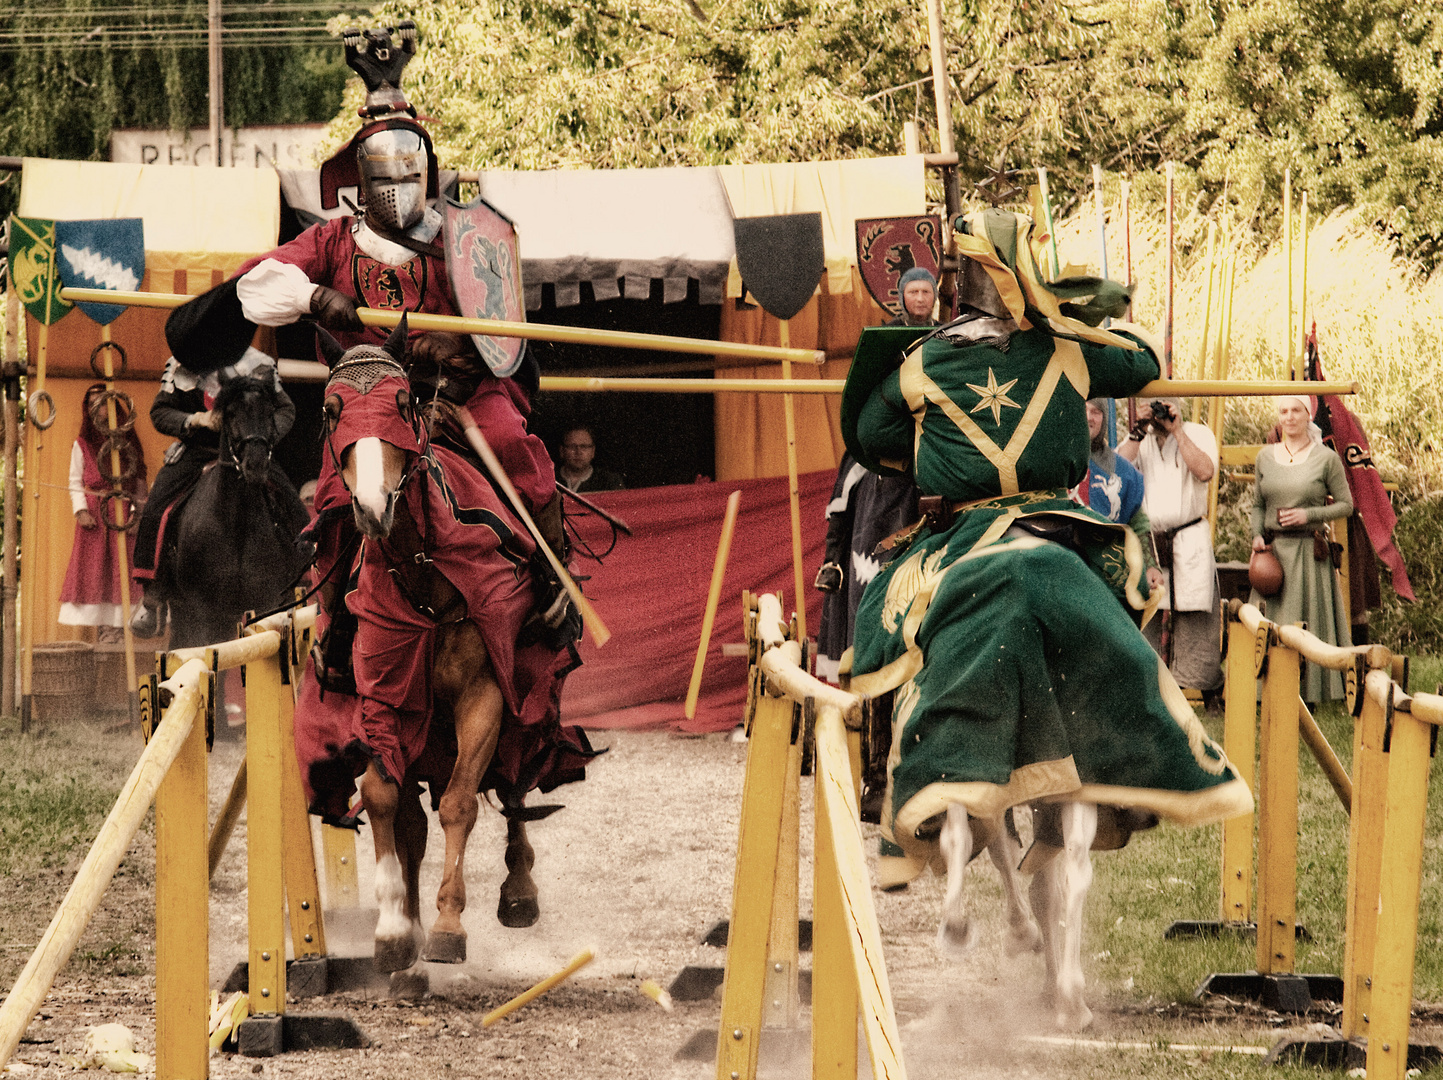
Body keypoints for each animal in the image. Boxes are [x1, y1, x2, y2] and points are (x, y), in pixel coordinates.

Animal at [163, 375, 310, 649]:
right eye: (230, 414)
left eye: (269, 411)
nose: (256, 465)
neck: (236, 525)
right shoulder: (204, 610)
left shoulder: (267, 600)